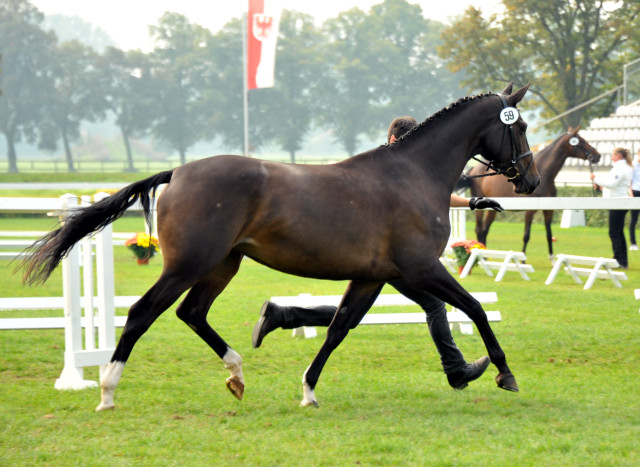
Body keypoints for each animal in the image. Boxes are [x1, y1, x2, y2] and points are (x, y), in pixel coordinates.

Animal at [460, 128, 600, 260]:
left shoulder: (548, 210)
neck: (544, 173)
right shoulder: (530, 210)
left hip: (491, 209)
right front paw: (523, 260)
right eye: (581, 141)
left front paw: (552, 259)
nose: (597, 156)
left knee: (484, 230)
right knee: (479, 229)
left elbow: (549, 234)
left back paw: (485, 256)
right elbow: (526, 235)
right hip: (481, 208)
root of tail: (473, 170)